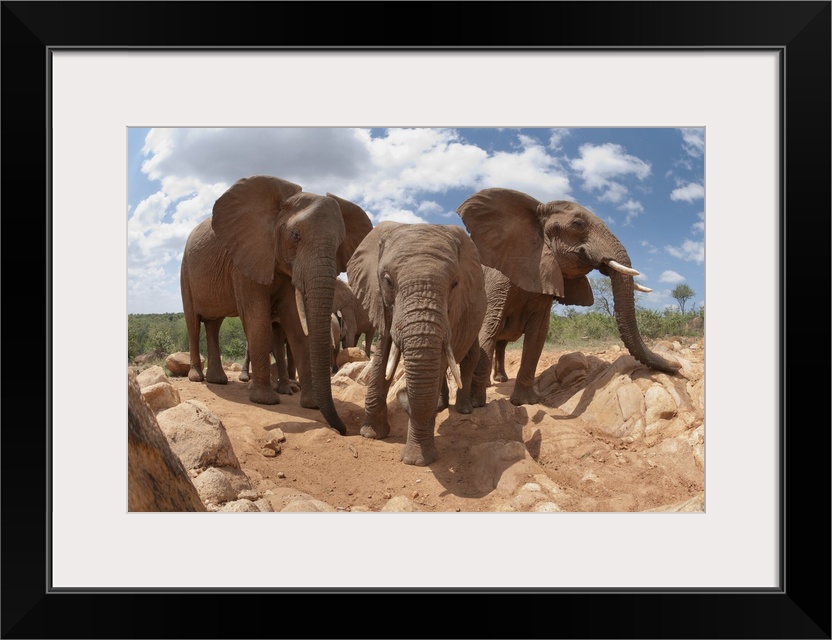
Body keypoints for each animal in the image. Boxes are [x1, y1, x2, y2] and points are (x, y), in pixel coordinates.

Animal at [180, 175, 372, 436]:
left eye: (340, 243)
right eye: (295, 236)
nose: (343, 430)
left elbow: (294, 323)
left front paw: (310, 404)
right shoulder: (245, 257)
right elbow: (257, 319)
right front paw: (265, 400)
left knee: (214, 324)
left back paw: (217, 380)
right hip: (185, 271)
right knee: (193, 321)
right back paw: (197, 378)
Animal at [346, 220, 488, 464]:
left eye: (455, 283)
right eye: (388, 281)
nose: (403, 394)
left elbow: (438, 359)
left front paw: (417, 460)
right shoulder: (380, 300)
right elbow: (383, 354)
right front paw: (371, 434)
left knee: (469, 358)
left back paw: (463, 410)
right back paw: (440, 406)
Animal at [456, 185, 684, 408]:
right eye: (578, 224)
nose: (677, 366)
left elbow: (537, 334)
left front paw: (526, 402)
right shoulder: (497, 280)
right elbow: (489, 326)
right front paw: (476, 404)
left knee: (501, 343)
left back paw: (500, 380)